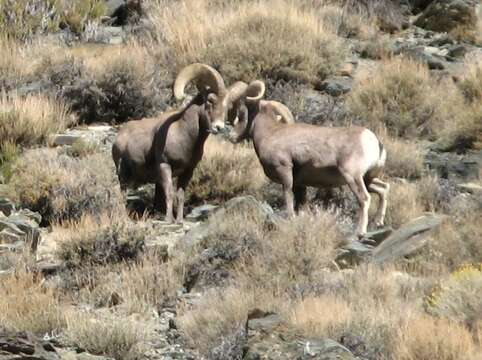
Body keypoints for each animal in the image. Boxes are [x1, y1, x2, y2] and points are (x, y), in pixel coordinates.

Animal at [109, 63, 237, 224]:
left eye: (226, 106)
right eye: (210, 100)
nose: (219, 127)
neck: (183, 134)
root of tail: (119, 137)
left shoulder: (188, 171)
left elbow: (180, 196)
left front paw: (179, 220)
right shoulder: (165, 166)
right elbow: (169, 193)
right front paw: (169, 220)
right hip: (123, 175)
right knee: (122, 194)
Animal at [228, 80, 390, 238]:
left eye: (240, 113)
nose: (231, 136)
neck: (270, 134)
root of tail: (374, 141)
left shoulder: (285, 171)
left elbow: (288, 195)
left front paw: (291, 218)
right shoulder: (300, 183)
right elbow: (301, 203)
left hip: (353, 177)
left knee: (364, 198)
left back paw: (360, 232)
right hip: (367, 179)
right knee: (383, 189)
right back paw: (378, 222)